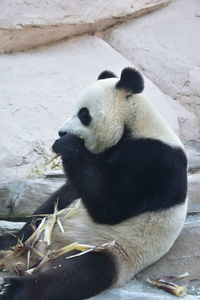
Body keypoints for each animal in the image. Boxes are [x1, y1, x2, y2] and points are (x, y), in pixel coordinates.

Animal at [0, 68, 188, 300]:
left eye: (83, 113)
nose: (61, 132)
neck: (135, 124)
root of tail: (39, 255)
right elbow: (63, 196)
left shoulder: (156, 161)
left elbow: (111, 204)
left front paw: (67, 144)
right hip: (38, 241)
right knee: (17, 239)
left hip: (106, 249)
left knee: (77, 273)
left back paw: (15, 288)